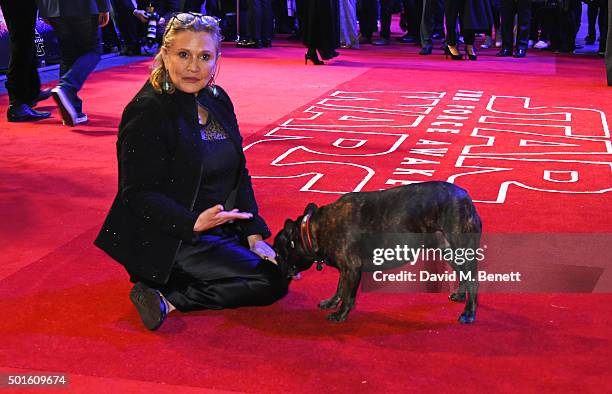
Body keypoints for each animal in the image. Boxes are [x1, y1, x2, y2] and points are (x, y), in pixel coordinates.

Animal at [274, 182, 482, 324]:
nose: (279, 271)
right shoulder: (345, 270)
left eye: (278, 254)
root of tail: (467, 199)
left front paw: (341, 314)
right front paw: (331, 302)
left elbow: (348, 295)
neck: (313, 230)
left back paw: (468, 313)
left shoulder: (351, 269)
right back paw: (460, 297)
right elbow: (340, 288)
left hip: (460, 246)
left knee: (472, 279)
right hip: (447, 249)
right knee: (463, 274)